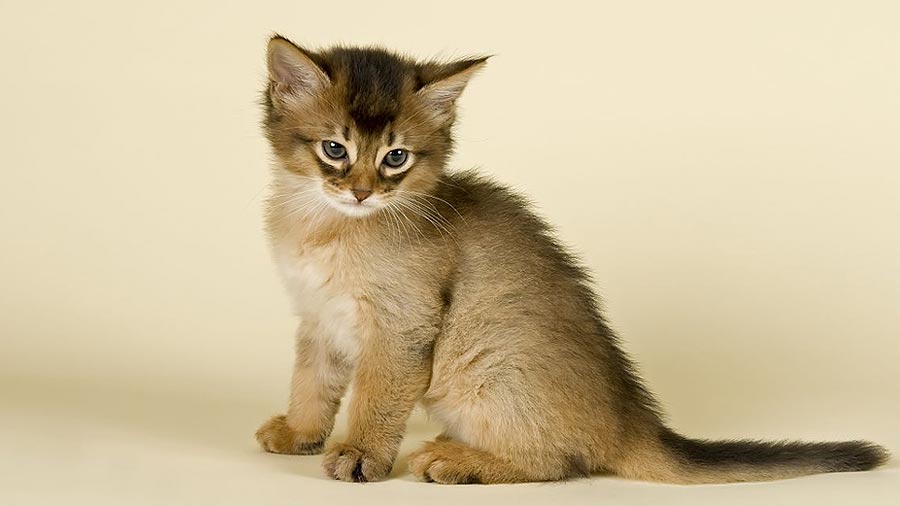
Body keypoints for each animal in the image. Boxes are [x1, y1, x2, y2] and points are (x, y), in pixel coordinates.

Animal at [253, 33, 884, 484]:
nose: (361, 192)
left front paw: (360, 455)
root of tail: (632, 422)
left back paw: (454, 460)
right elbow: (311, 383)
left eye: (396, 158)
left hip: (483, 369)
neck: (326, 227)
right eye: (335, 149)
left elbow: (376, 398)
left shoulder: (401, 325)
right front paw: (299, 433)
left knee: (560, 463)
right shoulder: (318, 318)